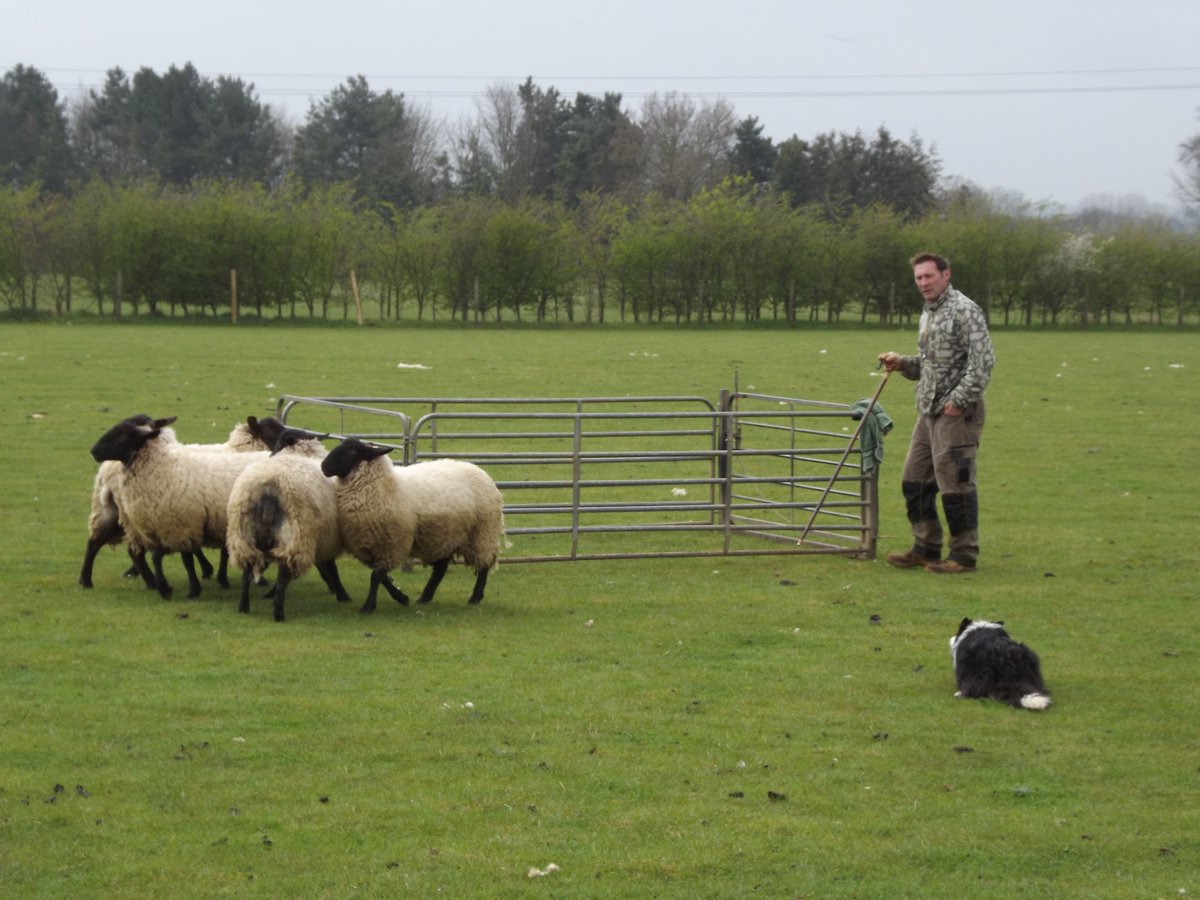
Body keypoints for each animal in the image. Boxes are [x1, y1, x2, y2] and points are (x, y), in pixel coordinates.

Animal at [225, 427, 350, 624]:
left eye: (276, 442)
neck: (299, 452)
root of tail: (268, 488)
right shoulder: (322, 537)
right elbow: (331, 567)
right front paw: (341, 593)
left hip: (244, 536)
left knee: (247, 571)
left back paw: (243, 606)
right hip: (294, 535)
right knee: (283, 576)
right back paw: (278, 613)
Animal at [319, 441, 501, 619]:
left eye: (352, 451)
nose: (323, 466)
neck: (383, 486)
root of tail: (478, 469)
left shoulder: (393, 545)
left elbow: (376, 577)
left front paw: (368, 606)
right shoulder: (370, 548)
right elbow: (382, 578)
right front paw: (402, 598)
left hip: (482, 533)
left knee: (483, 566)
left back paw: (475, 597)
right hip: (445, 536)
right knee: (440, 570)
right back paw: (425, 597)